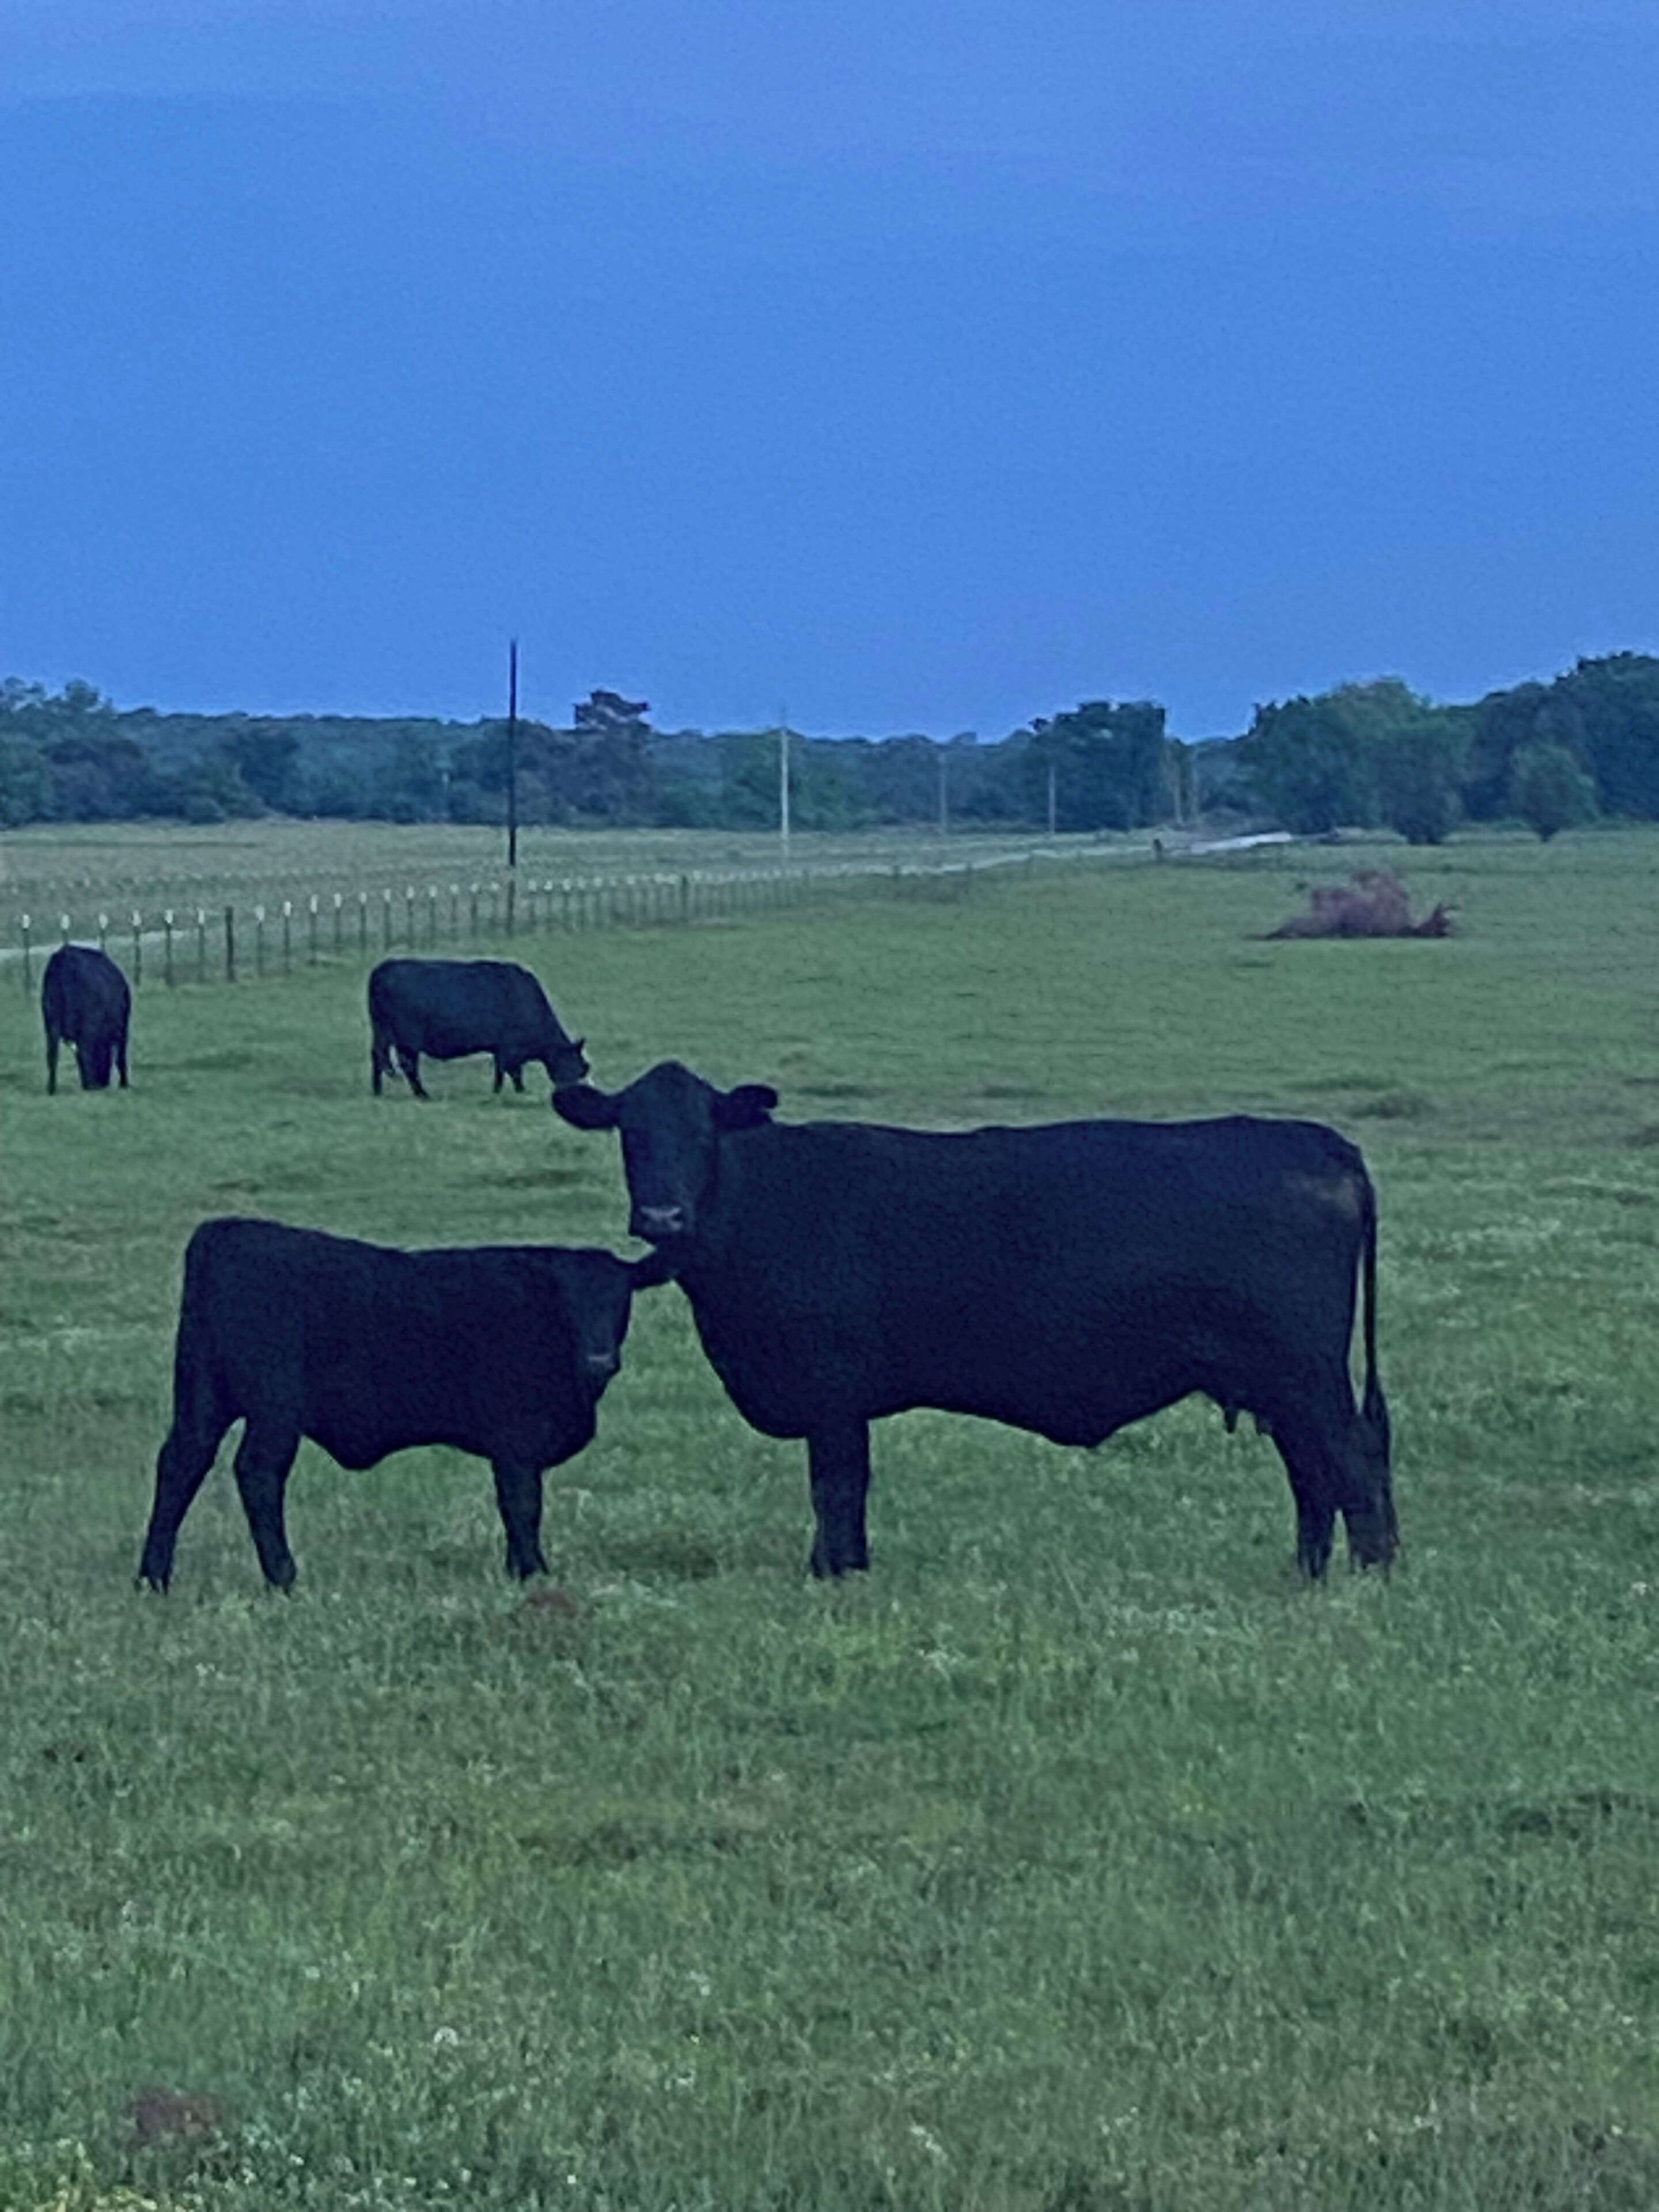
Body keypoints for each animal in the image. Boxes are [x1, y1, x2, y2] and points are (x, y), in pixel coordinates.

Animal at [137, 1218, 673, 1591]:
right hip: (274, 1408)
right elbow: (522, 1506)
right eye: (566, 1300)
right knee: (257, 1474)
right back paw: (283, 1577)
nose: (600, 1358)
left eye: (621, 1298)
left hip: (202, 1399)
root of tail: (225, 1231)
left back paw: (153, 1578)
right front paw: (532, 1572)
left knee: (180, 1465)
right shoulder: (516, 1443)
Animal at [368, 958, 589, 1099]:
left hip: (383, 1034)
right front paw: (519, 1091)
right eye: (577, 1067)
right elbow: (513, 1072)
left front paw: (499, 1092)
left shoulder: (501, 1050)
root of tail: (383, 968)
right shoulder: (510, 1049)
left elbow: (501, 1072)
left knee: (379, 1057)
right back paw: (422, 1094)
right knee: (407, 1065)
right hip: (407, 1040)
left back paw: (378, 1092)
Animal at [553, 1062, 1396, 1583]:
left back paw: (1371, 1572)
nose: (661, 1214)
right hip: (1276, 1383)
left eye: (705, 1131)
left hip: (1303, 1374)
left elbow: (837, 1485)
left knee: (1349, 1458)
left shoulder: (832, 1394)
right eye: (630, 1132)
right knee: (1312, 1470)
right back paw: (1310, 1573)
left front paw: (832, 1571)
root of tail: (1318, 1140)